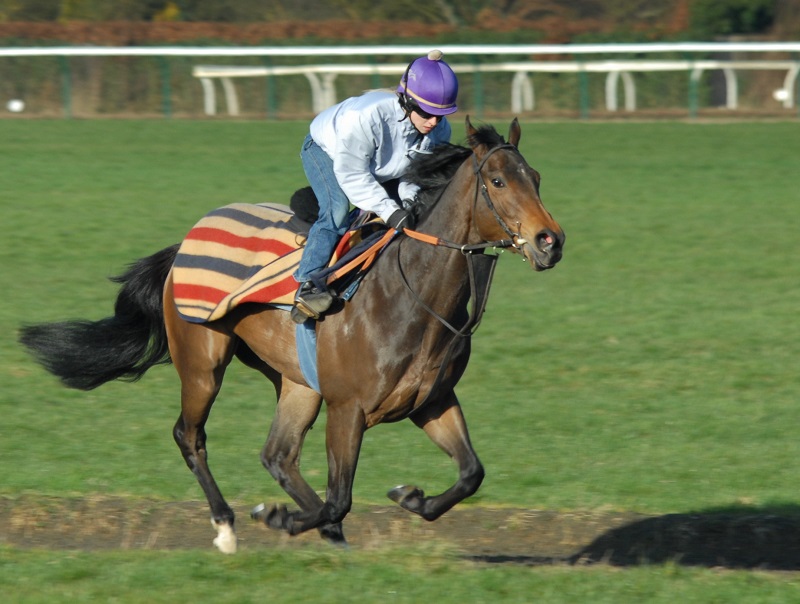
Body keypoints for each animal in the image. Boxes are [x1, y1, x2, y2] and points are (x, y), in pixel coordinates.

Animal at [19, 117, 564, 554]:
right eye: (498, 180)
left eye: (536, 178)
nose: (550, 241)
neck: (410, 295)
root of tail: (181, 246)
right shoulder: (348, 408)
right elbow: (340, 497)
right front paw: (280, 518)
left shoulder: (431, 400)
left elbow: (470, 473)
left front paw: (410, 497)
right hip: (203, 364)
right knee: (190, 435)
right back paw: (227, 527)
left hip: (297, 383)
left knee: (277, 454)